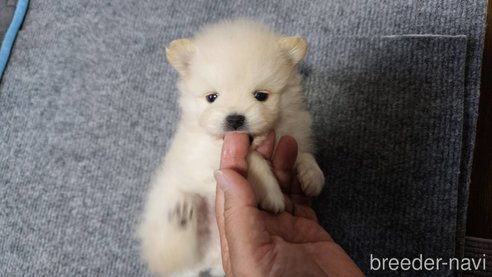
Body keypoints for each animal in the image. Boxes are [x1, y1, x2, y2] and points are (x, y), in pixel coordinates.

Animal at [136, 19, 324, 276]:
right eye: (212, 97)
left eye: (260, 95)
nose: (235, 119)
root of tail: (208, 260)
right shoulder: (202, 156)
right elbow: (254, 159)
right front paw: (272, 193)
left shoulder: (295, 132)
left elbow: (303, 154)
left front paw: (312, 176)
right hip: (166, 222)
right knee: (171, 252)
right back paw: (181, 216)